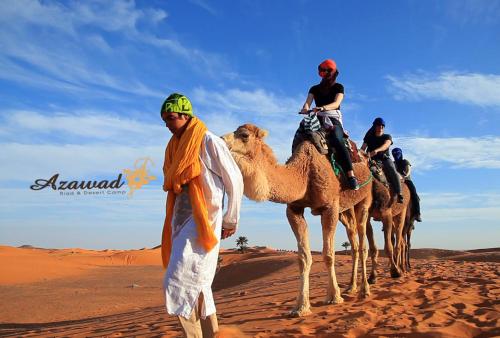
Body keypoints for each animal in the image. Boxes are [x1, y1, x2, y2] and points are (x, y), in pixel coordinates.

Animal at [221, 124, 374, 316]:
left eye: (244, 135)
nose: (221, 140)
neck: (304, 173)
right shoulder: (294, 210)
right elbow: (303, 258)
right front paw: (300, 307)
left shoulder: (330, 207)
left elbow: (328, 254)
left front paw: (333, 297)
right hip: (345, 210)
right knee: (353, 240)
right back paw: (351, 287)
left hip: (364, 200)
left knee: (362, 242)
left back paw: (365, 290)